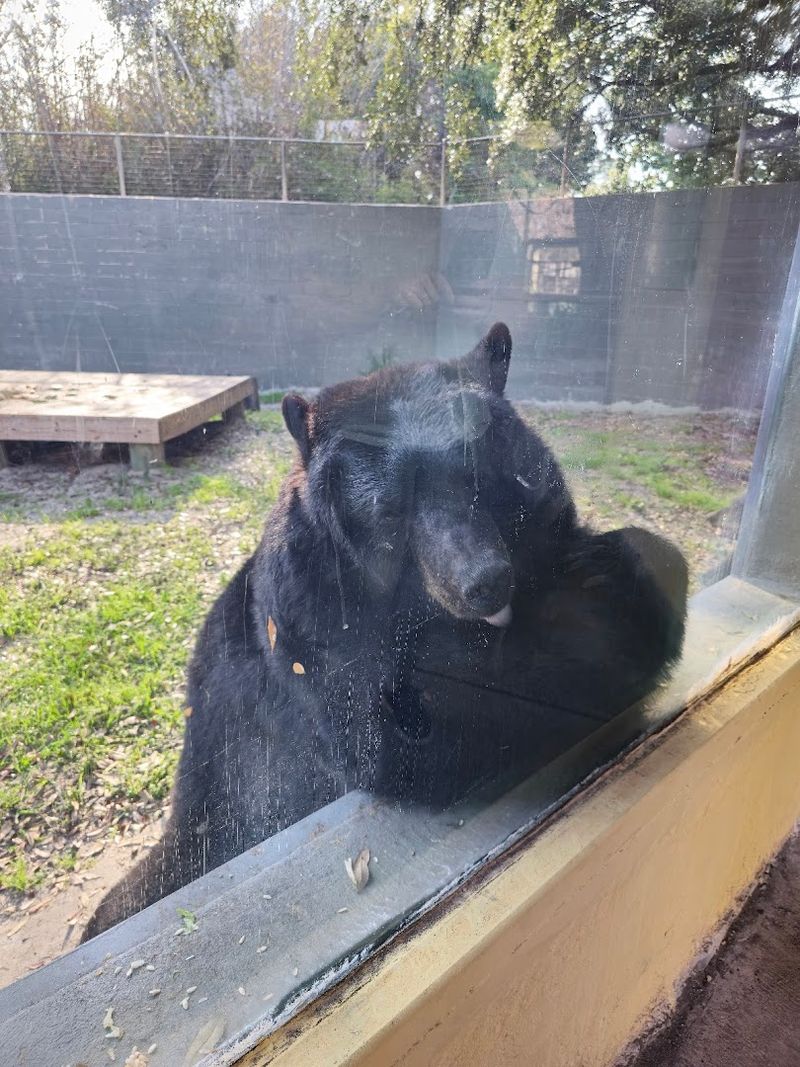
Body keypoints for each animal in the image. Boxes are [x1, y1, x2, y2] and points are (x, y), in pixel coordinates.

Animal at [84, 322, 688, 939]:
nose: (484, 581)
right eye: (390, 509)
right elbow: (405, 732)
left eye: (481, 477)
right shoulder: (314, 624)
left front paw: (615, 572)